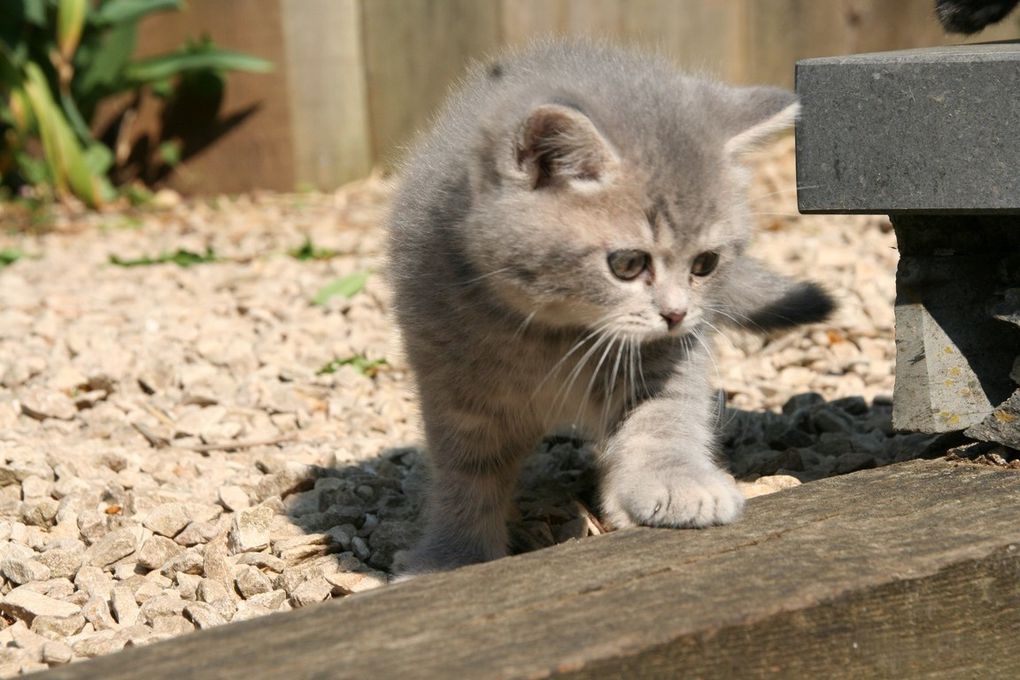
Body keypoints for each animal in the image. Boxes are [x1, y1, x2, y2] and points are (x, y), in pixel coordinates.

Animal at [385, 41, 832, 574]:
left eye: (705, 263)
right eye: (628, 264)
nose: (676, 313)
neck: (554, 334)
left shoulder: (667, 355)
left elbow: (662, 419)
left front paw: (676, 484)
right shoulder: (453, 383)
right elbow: (467, 472)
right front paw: (452, 555)